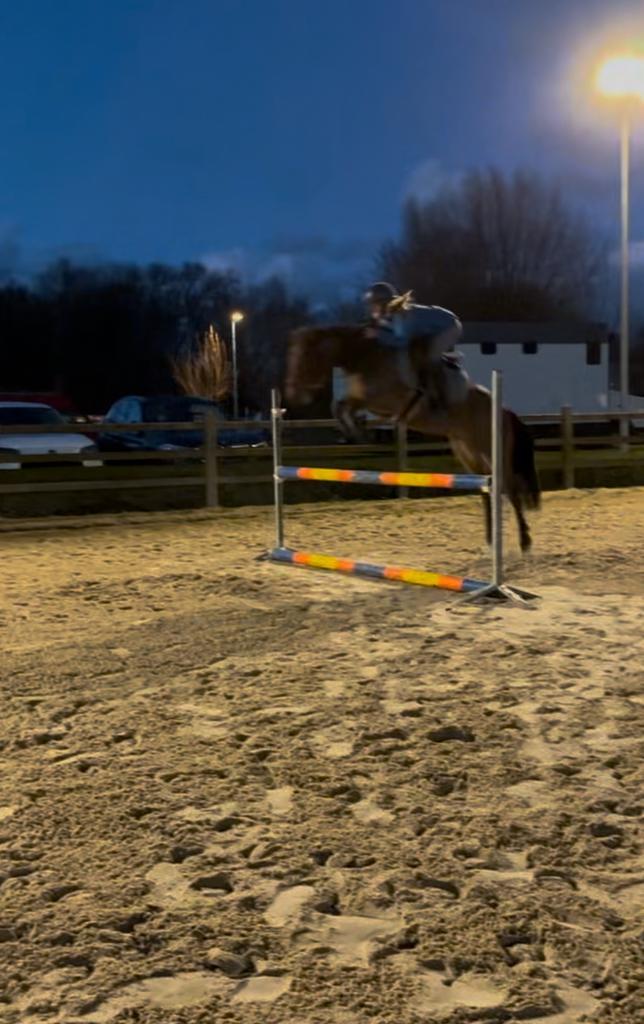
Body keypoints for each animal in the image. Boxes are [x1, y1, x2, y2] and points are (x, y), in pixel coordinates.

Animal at [284, 324, 540, 552]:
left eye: (306, 356)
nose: (294, 393)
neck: (365, 358)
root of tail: (504, 410)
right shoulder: (365, 400)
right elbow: (340, 406)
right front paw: (353, 431)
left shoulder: (385, 401)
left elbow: (348, 405)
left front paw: (357, 432)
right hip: (468, 453)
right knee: (487, 490)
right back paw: (490, 541)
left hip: (491, 449)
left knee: (509, 488)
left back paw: (524, 542)